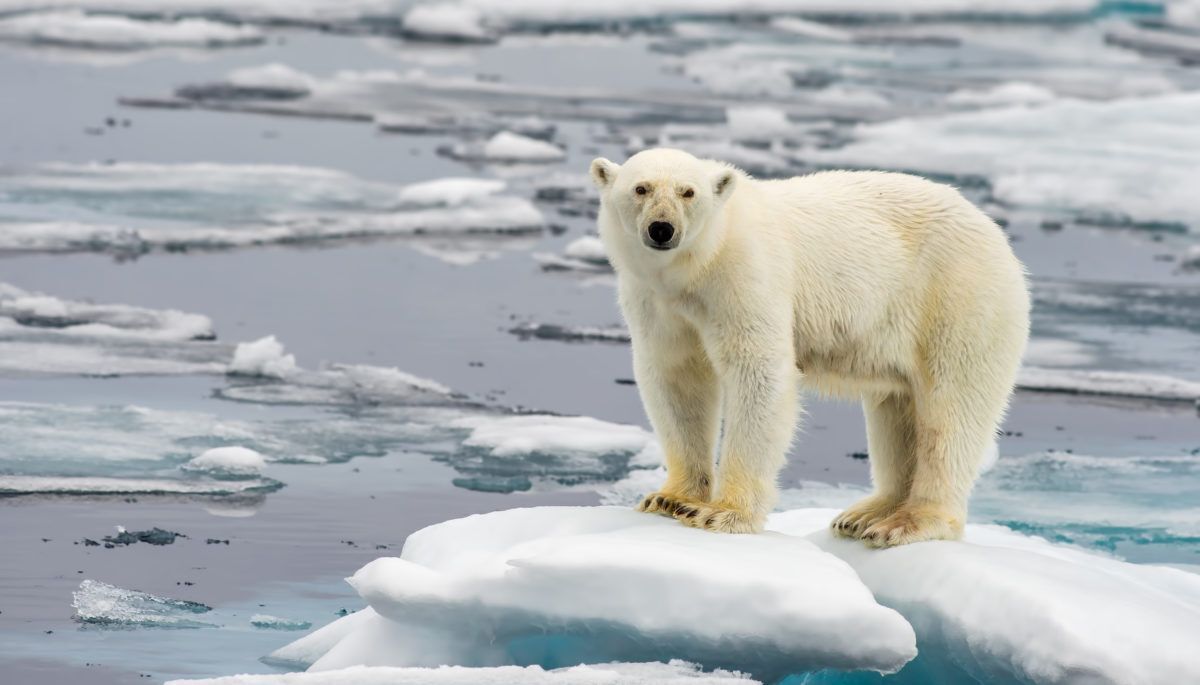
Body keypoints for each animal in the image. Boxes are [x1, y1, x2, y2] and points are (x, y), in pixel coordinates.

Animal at [590, 148, 1029, 547]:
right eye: (641, 188)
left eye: (688, 192)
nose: (662, 229)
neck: (698, 266)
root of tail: (997, 236)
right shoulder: (656, 302)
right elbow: (676, 379)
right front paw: (670, 499)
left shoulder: (745, 277)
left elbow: (759, 372)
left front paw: (722, 513)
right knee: (898, 409)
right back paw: (865, 515)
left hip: (957, 298)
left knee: (951, 410)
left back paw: (907, 522)